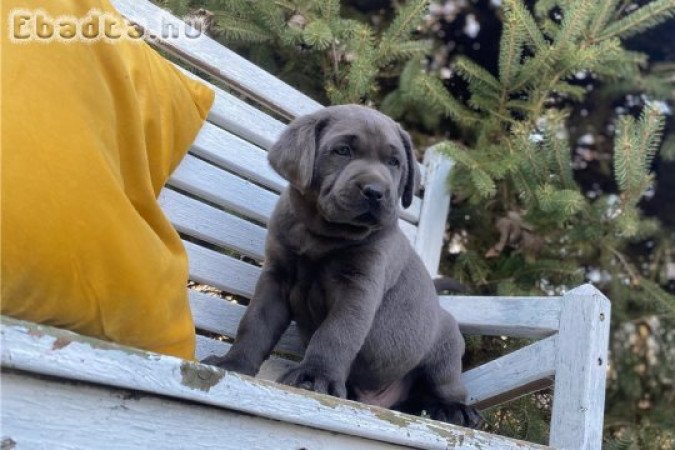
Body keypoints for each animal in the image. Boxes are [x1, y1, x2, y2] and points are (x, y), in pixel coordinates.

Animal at [203, 103, 484, 428]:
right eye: (343, 150)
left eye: (394, 162)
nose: (375, 191)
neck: (322, 234)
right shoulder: (276, 278)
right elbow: (255, 324)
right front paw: (233, 363)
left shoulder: (358, 288)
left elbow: (336, 333)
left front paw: (316, 377)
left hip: (445, 351)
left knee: (449, 387)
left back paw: (455, 410)